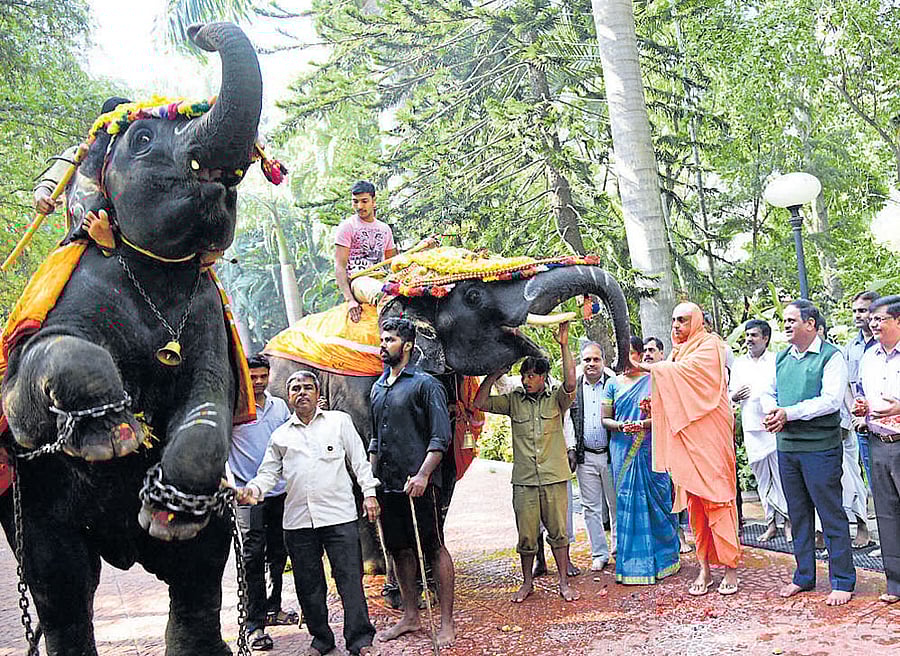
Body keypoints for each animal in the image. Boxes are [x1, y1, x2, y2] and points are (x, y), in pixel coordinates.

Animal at [0, 23, 262, 656]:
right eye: (142, 138)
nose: (196, 30)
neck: (150, 274)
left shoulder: (207, 319)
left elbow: (210, 401)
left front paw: (167, 510)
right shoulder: (54, 314)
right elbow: (36, 382)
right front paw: (112, 437)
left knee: (197, 567)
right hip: (33, 514)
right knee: (61, 583)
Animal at [265, 264, 632, 571]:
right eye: (473, 295)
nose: (618, 363)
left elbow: (441, 464)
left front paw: (430, 566)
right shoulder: (358, 395)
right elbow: (373, 469)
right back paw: (371, 569)